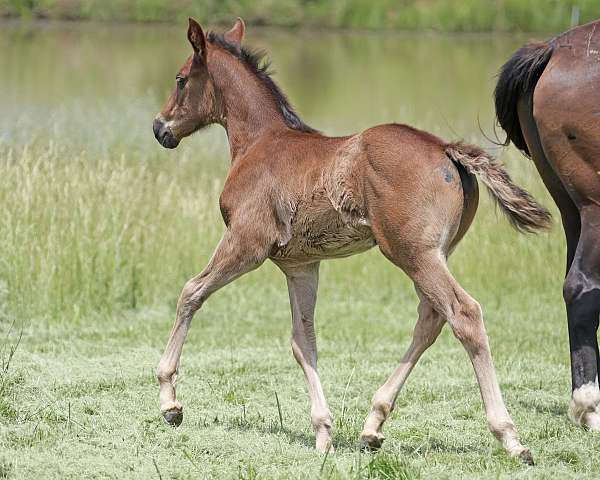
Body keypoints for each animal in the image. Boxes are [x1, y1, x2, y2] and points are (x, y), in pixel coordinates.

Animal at [154, 17, 548, 462]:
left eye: (180, 78)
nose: (159, 127)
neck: (258, 143)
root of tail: (447, 148)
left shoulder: (245, 242)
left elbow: (191, 292)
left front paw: (170, 401)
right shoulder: (301, 265)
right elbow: (302, 341)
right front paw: (323, 431)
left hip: (413, 253)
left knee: (463, 314)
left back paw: (510, 438)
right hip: (435, 253)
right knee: (430, 319)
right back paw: (372, 425)